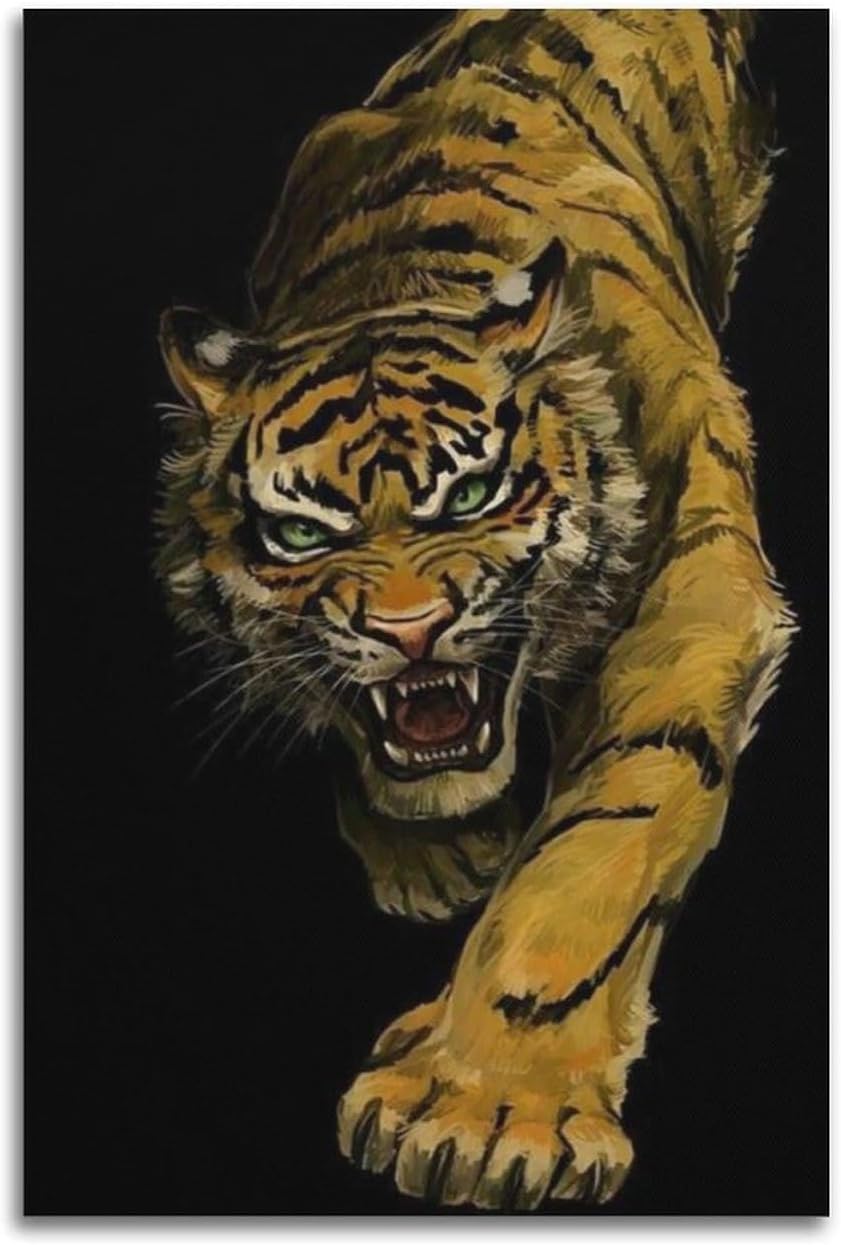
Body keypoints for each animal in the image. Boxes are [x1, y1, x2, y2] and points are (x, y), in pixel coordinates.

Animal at [156, 9, 794, 1211]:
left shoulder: (692, 587)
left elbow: (597, 849)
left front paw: (485, 1112)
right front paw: (430, 855)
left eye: (471, 494)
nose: (406, 628)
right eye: (302, 535)